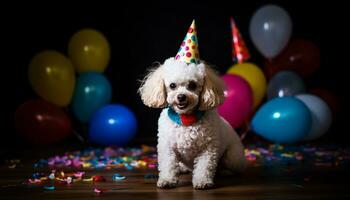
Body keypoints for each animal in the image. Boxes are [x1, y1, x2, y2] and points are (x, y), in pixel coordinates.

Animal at [138, 56, 245, 189]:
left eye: (192, 85)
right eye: (172, 85)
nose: (181, 97)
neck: (185, 118)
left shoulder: (208, 149)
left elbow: (204, 167)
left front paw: (202, 181)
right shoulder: (167, 147)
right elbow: (168, 165)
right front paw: (167, 180)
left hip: (233, 157)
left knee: (235, 167)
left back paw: (225, 171)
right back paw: (182, 168)